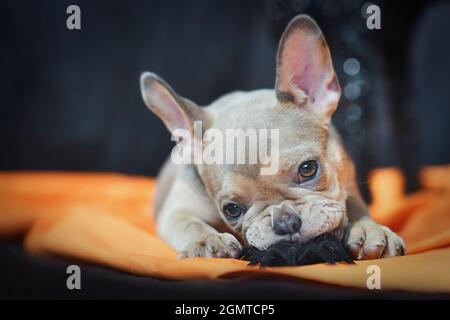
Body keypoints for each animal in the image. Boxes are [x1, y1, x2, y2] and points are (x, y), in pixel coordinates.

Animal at [139, 14, 406, 260]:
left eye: (308, 169)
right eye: (232, 209)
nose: (284, 222)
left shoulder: (347, 183)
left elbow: (354, 206)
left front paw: (368, 228)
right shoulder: (177, 209)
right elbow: (188, 223)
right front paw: (206, 241)